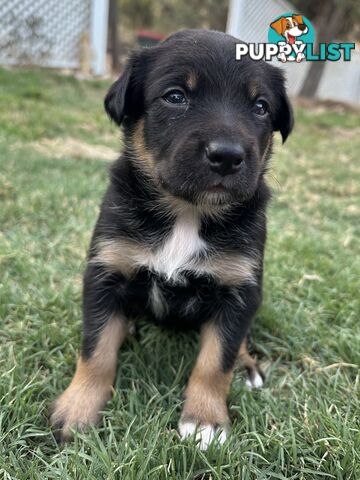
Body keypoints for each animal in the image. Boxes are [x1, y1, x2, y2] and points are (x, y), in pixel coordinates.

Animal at [50, 29, 292, 450]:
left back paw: (247, 365)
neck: (187, 212)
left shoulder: (239, 287)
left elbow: (217, 359)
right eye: (175, 96)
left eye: (261, 106)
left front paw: (205, 420)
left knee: (240, 342)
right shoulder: (105, 271)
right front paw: (76, 411)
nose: (227, 156)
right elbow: (96, 350)